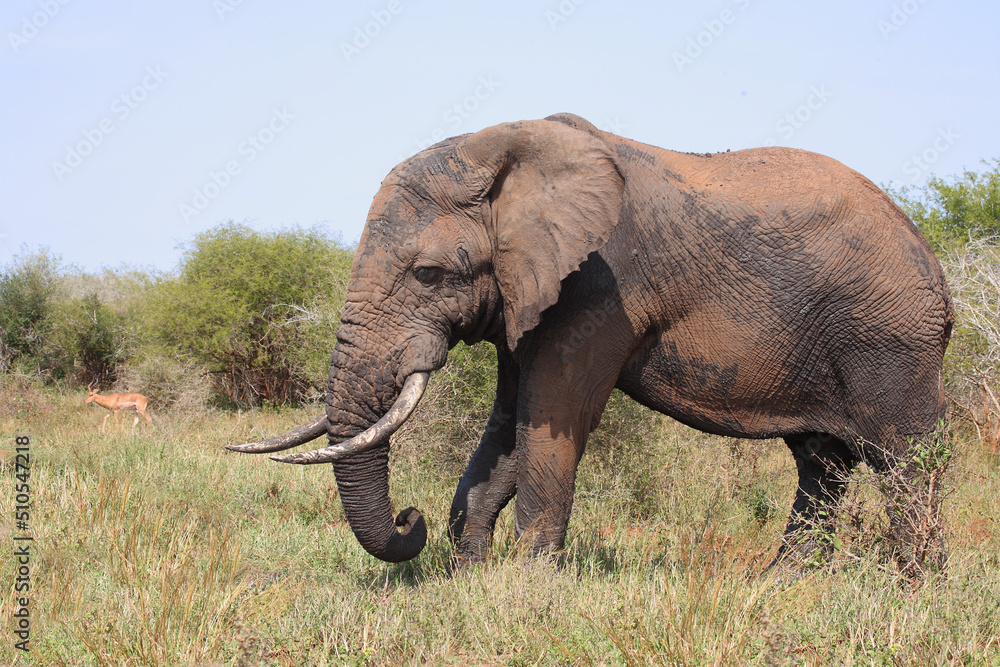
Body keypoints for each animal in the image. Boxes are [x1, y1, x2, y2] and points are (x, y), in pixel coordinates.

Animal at [228, 113, 953, 571]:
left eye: (428, 274)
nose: (411, 518)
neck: (503, 152)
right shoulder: (528, 294)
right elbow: (508, 427)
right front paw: (469, 585)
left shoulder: (602, 284)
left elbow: (553, 419)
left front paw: (528, 594)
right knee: (822, 464)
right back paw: (780, 588)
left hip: (891, 338)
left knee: (905, 460)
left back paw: (914, 592)